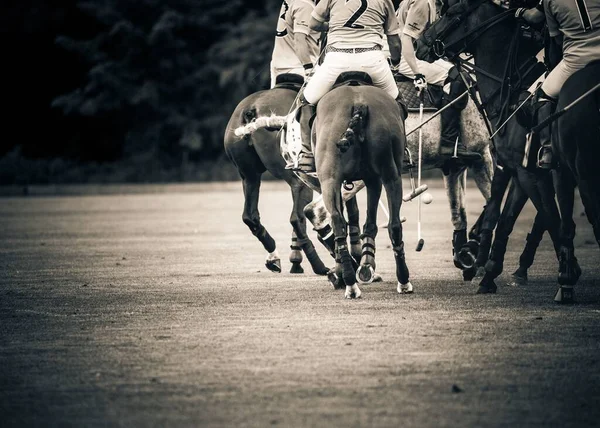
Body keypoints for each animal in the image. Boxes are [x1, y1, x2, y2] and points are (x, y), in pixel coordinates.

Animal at [224, 74, 328, 276]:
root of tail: (251, 109)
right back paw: (319, 265)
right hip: (297, 179)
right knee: (297, 217)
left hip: (248, 176)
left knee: (250, 216)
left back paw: (274, 257)